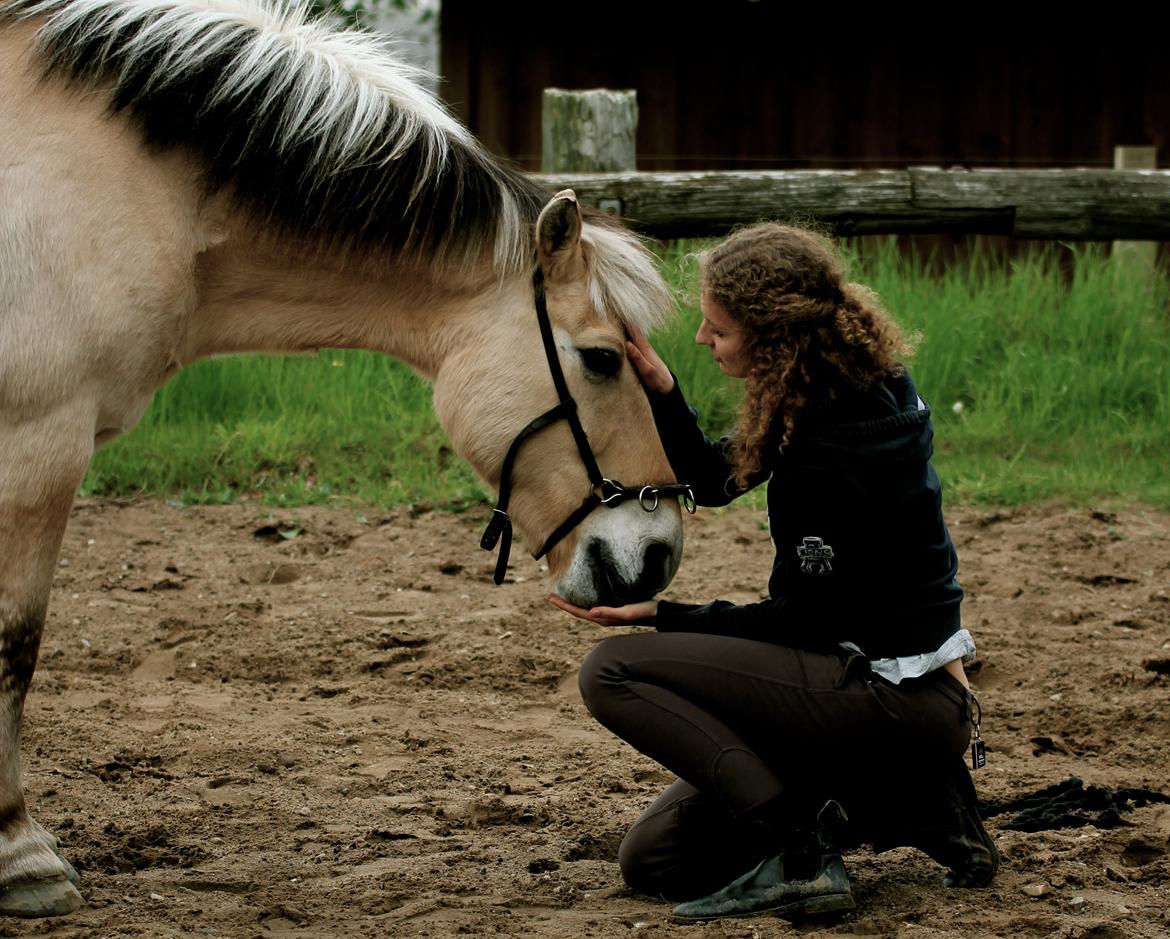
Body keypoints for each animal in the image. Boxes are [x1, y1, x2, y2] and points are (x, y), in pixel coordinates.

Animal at [0, 0, 683, 912]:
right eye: (604, 359)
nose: (660, 551)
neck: (121, 182)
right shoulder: (36, 440)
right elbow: (16, 642)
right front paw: (20, 856)